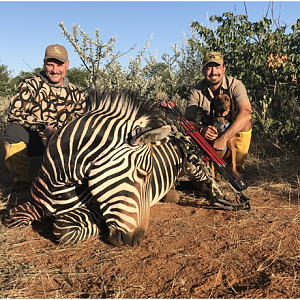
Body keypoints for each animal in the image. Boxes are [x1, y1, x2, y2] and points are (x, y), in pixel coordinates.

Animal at [4, 90, 202, 247]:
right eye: (142, 174)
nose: (138, 239)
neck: (58, 184)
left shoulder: (97, 206)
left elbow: (63, 228)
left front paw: (99, 227)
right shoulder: (35, 206)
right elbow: (12, 215)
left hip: (193, 167)